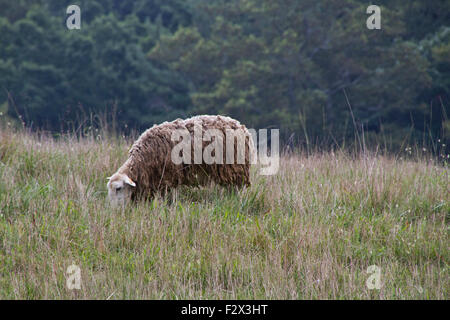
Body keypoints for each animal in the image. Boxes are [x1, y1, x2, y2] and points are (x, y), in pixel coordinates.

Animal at [105, 114, 253, 205]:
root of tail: (241, 126)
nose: (115, 212)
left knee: (236, 190)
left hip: (235, 168)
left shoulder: (168, 176)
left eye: (118, 188)